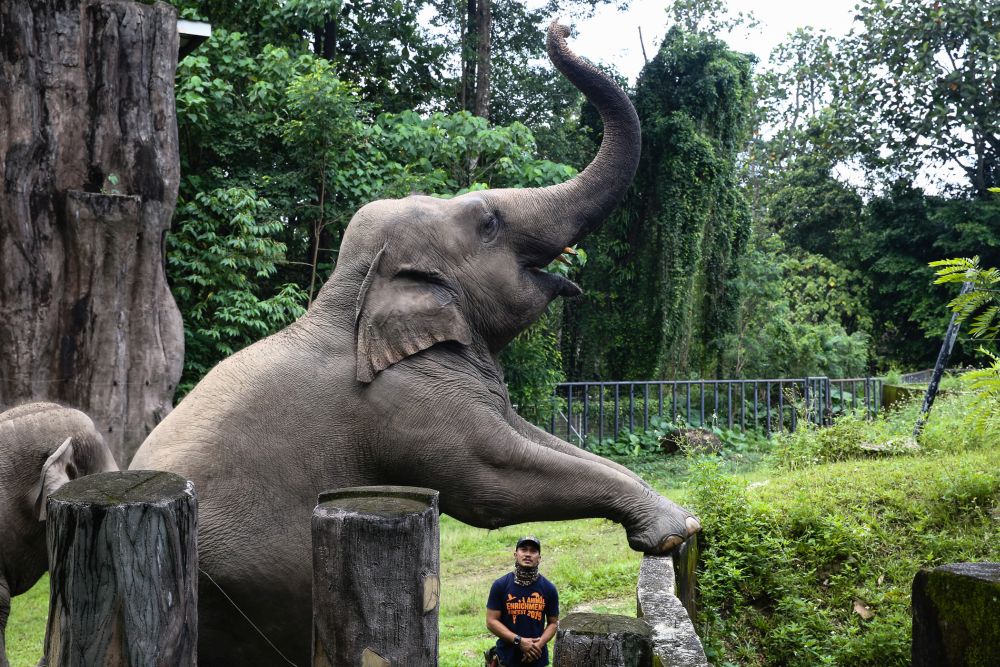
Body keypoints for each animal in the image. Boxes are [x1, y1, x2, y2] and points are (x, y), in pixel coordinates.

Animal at [129, 21, 700, 666]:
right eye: (488, 223)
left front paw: (680, 516)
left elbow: (531, 436)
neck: (346, 298)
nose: (560, 28)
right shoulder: (400, 401)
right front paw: (673, 529)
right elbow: (493, 475)